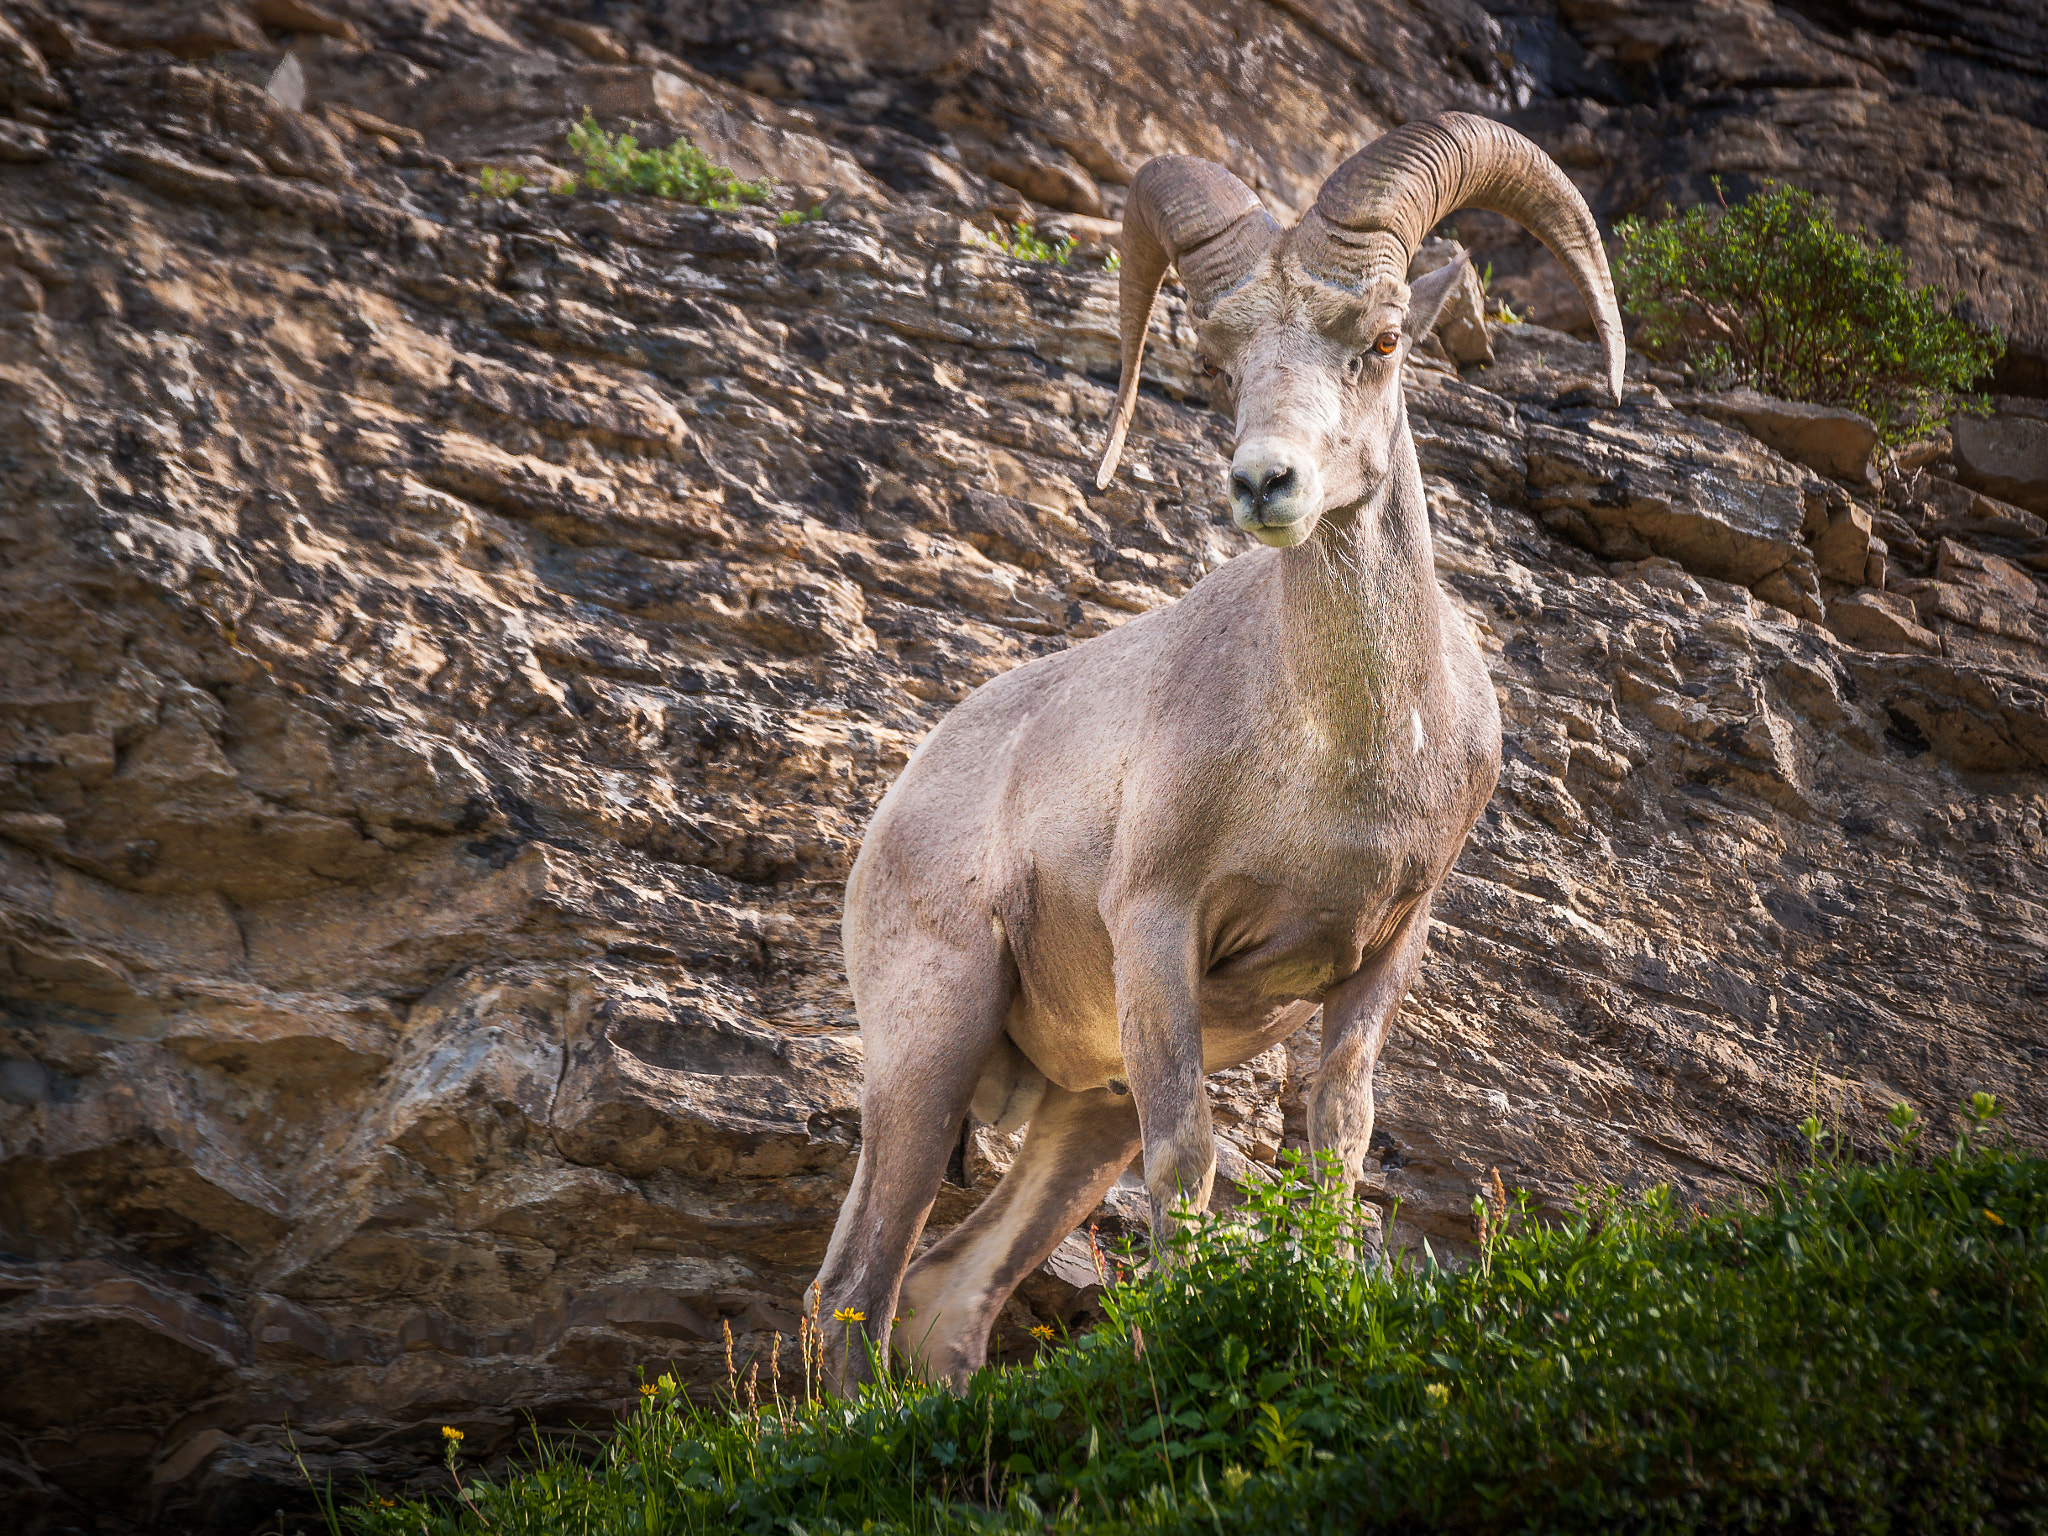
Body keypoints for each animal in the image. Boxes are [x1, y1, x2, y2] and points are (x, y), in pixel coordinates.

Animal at [812, 112, 1625, 1388]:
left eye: (1382, 339)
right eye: (1215, 366)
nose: (1264, 483)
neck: (1342, 765)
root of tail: (899, 804)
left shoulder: (1380, 957)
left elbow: (1339, 1136)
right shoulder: (1160, 933)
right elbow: (1188, 1154)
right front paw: (1185, 1322)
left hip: (1078, 1112)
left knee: (944, 1297)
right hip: (930, 1042)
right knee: (854, 1286)